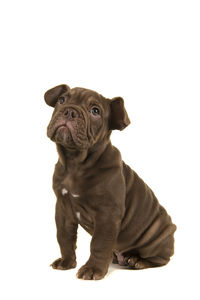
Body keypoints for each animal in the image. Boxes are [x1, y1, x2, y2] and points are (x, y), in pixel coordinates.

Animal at [44, 84, 176, 278]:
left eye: (95, 111)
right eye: (62, 100)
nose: (69, 111)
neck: (75, 163)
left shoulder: (107, 214)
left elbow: (99, 243)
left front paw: (93, 269)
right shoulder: (63, 209)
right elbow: (64, 237)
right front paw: (67, 262)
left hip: (158, 235)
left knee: (160, 258)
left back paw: (138, 261)